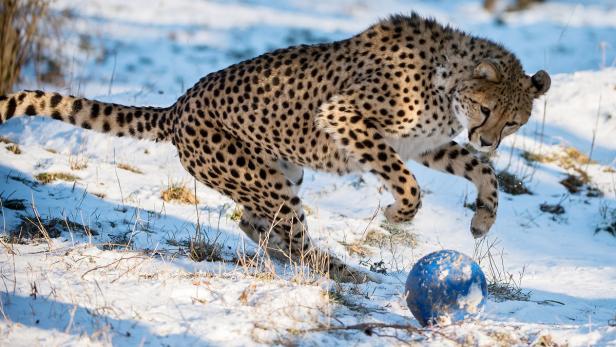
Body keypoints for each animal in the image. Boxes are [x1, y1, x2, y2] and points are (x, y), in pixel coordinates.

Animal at [0, 13, 548, 282]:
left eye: (515, 121)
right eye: (487, 110)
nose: (489, 137)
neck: (449, 80)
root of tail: (178, 106)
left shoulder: (425, 144)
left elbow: (479, 169)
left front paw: (482, 219)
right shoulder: (345, 118)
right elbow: (409, 183)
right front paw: (399, 215)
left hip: (279, 173)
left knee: (256, 224)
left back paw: (292, 259)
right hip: (264, 178)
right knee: (292, 233)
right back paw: (337, 271)